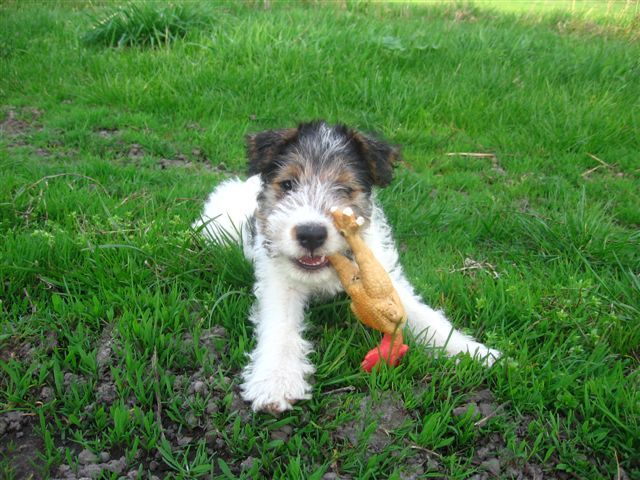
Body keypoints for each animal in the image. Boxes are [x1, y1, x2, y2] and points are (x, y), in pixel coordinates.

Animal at [192, 120, 502, 412]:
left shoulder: (383, 279)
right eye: (288, 184)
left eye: (344, 188)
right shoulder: (279, 282)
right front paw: (275, 382)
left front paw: (475, 353)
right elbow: (281, 327)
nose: (311, 234)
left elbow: (426, 318)